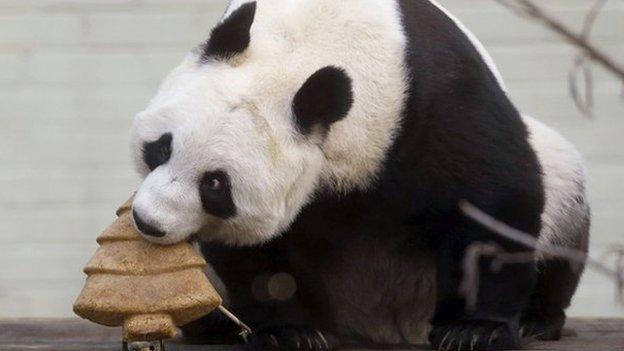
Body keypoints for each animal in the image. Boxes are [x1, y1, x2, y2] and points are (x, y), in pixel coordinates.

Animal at [130, 1, 588, 350]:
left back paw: (536, 320)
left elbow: (492, 198)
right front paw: (288, 331)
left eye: (215, 185)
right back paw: (217, 325)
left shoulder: (435, 100)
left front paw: (475, 330)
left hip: (557, 181)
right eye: (161, 148)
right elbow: (252, 254)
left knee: (561, 200)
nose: (147, 222)